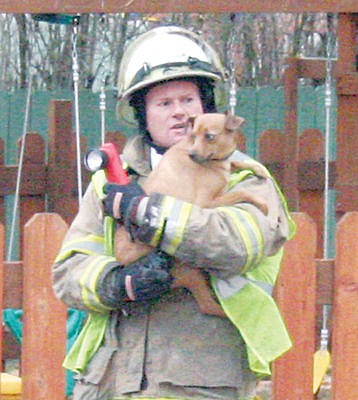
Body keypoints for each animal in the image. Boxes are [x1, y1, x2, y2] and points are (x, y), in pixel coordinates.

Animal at [114, 111, 268, 316]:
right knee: (208, 306)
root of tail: (121, 260)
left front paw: (258, 169)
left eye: (209, 136)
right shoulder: (206, 202)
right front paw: (262, 204)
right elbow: (241, 193)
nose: (192, 155)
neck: (215, 162)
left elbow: (236, 162)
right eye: (193, 135)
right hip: (188, 272)